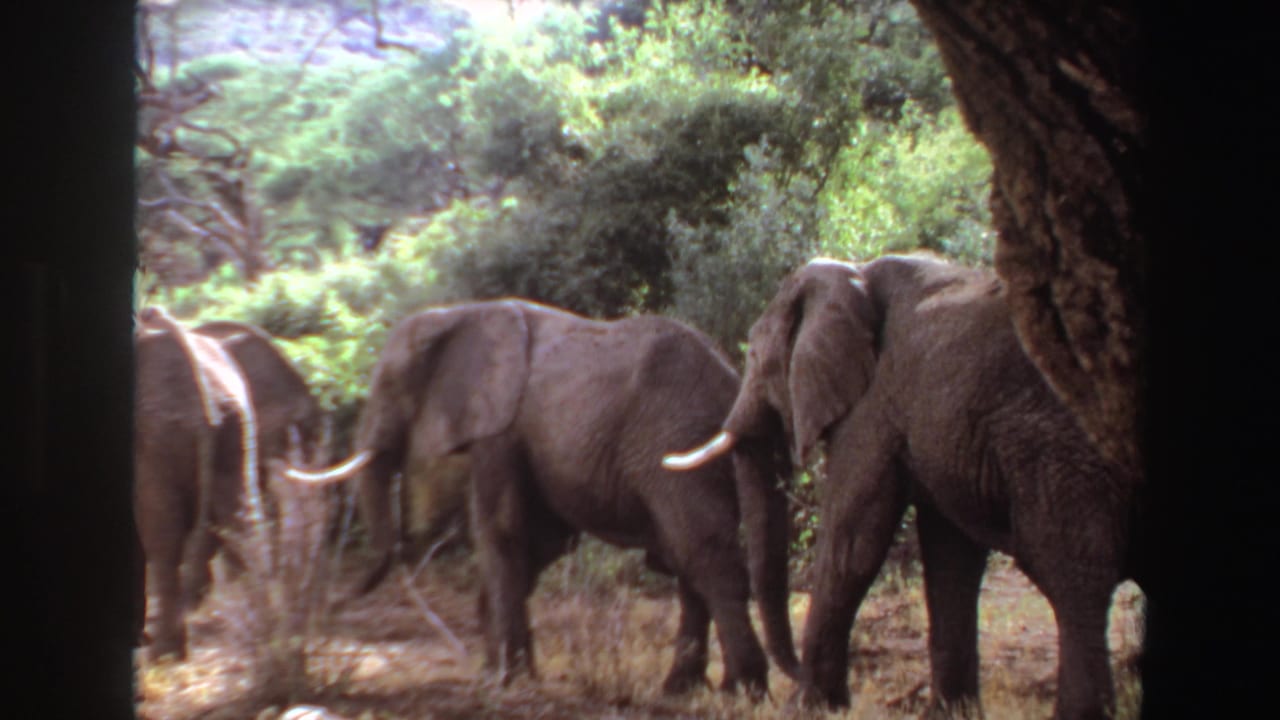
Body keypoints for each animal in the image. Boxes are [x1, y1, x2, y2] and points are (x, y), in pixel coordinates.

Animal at [285, 298, 799, 695]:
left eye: (392, 386)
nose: (337, 602)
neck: (459, 313)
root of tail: (730, 381)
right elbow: (542, 542)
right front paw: (502, 668)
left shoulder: (499, 431)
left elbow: (502, 530)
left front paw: (505, 679)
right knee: (688, 562)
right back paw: (684, 690)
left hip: (672, 442)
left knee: (705, 556)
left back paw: (744, 691)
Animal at [665, 255, 1143, 720]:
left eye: (757, 356)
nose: (789, 674)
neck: (853, 275)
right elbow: (950, 557)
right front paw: (949, 714)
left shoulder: (873, 405)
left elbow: (852, 543)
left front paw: (805, 707)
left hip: (1065, 448)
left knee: (1073, 574)